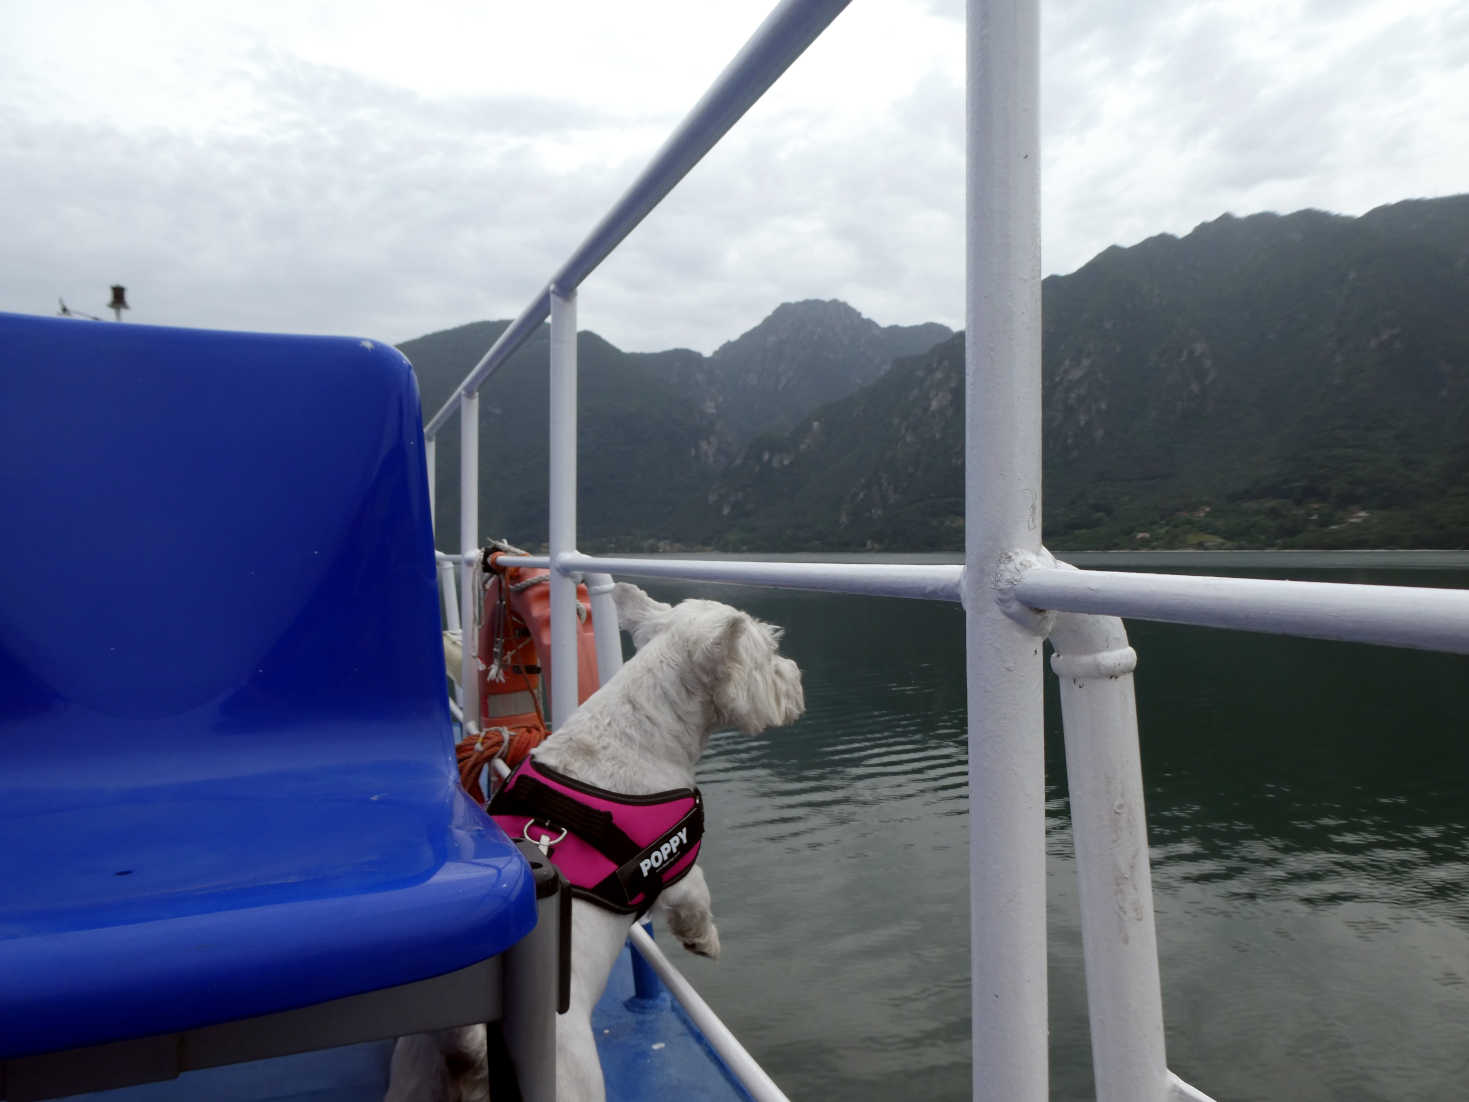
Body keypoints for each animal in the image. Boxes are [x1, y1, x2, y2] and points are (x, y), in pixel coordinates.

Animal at [384, 581, 810, 1099]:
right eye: (768, 654)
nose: (797, 675)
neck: (643, 725)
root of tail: (472, 1051)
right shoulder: (675, 870)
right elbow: (698, 895)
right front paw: (703, 941)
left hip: (413, 1076)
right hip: (572, 1074)